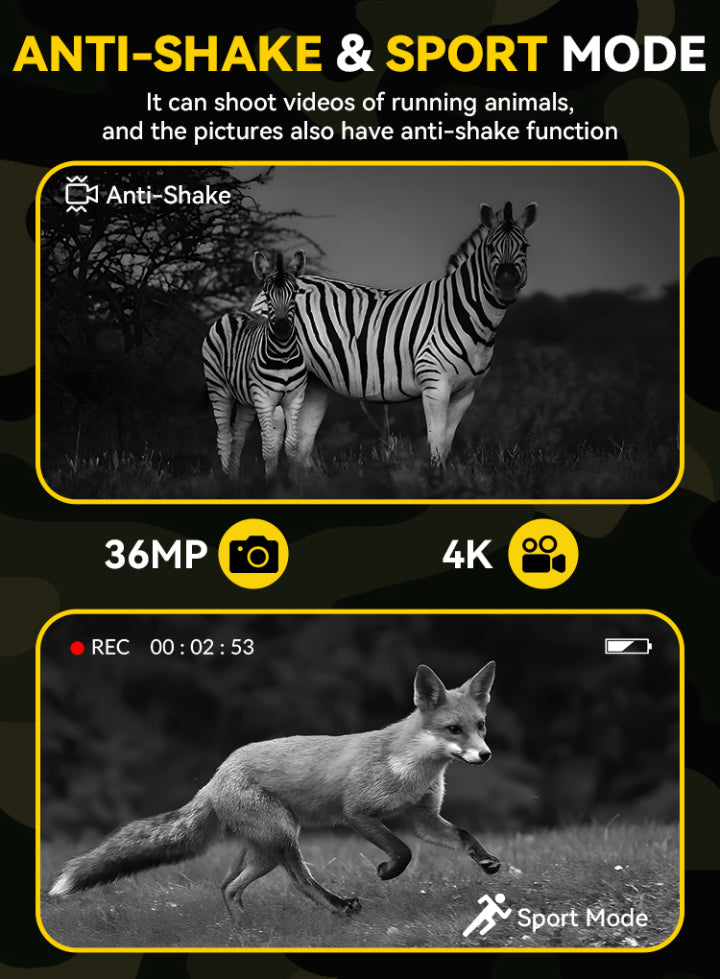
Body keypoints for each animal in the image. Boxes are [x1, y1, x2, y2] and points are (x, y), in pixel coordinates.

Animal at [48, 662, 500, 918]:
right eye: (453, 729)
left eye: (480, 726)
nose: (485, 755)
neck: (412, 767)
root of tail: (216, 776)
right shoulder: (358, 811)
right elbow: (402, 851)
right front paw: (387, 871)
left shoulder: (424, 817)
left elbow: (462, 835)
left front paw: (487, 860)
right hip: (283, 838)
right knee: (298, 882)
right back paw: (337, 907)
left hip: (264, 849)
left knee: (228, 887)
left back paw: (243, 933)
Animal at [202, 250, 307, 478]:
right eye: (267, 294)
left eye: (295, 292)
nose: (282, 329)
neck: (284, 354)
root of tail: (233, 312)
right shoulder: (264, 399)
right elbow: (269, 448)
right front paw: (273, 483)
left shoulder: (295, 399)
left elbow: (292, 446)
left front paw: (294, 483)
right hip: (218, 389)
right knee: (224, 438)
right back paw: (225, 482)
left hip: (246, 402)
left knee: (237, 436)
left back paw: (234, 479)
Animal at [251, 201, 537, 467]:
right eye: (490, 248)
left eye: (525, 247)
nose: (507, 285)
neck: (467, 314)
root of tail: (269, 286)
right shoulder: (435, 383)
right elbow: (435, 444)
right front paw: (435, 481)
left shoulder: (465, 394)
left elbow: (445, 445)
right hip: (277, 378)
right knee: (273, 439)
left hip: (314, 383)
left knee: (299, 446)